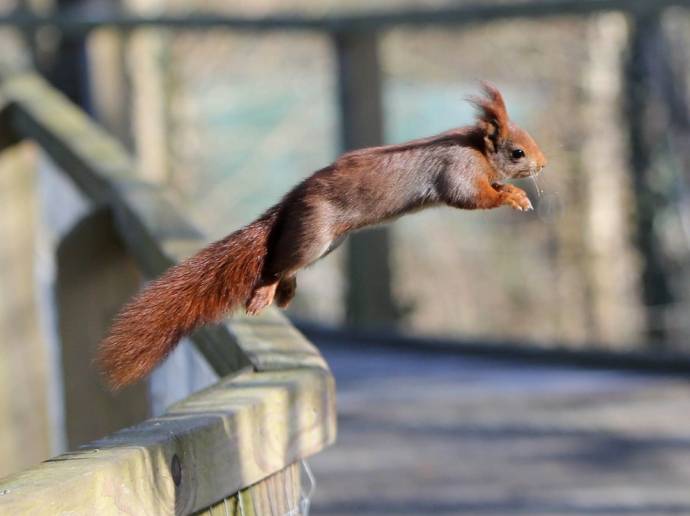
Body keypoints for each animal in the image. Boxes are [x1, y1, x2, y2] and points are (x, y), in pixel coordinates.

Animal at [99, 82, 544, 388]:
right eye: (518, 151)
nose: (544, 164)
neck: (475, 149)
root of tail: (289, 203)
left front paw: (517, 194)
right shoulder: (458, 171)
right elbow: (472, 196)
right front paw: (513, 196)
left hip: (329, 243)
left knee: (286, 262)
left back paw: (287, 290)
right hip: (315, 234)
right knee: (276, 263)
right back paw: (266, 291)